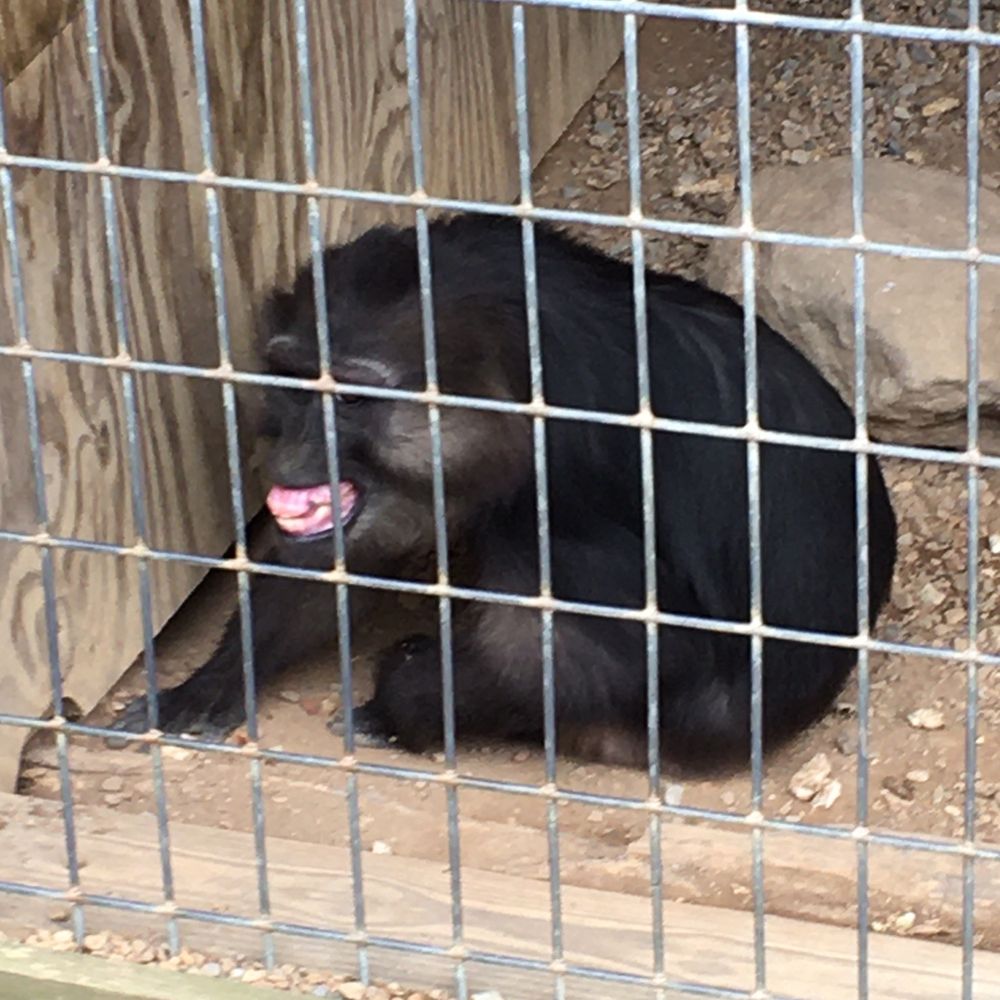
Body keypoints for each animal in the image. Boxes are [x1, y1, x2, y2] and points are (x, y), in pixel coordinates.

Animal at [111, 213, 897, 772]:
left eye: (354, 397)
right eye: (296, 380)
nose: (297, 455)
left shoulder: (563, 470)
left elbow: (615, 652)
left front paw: (403, 699)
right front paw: (210, 683)